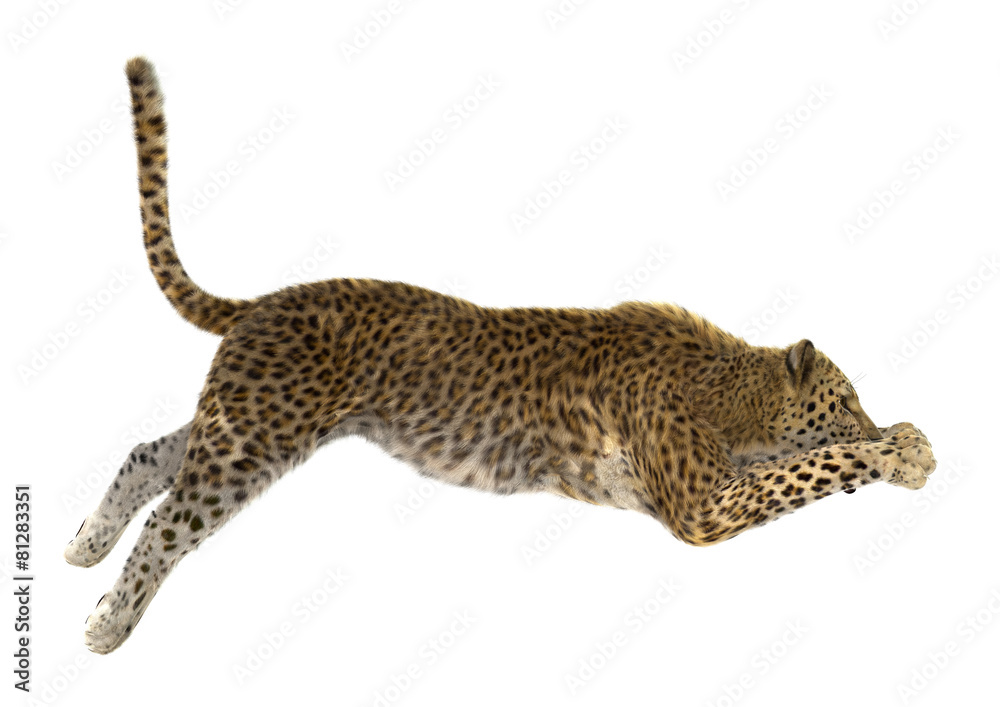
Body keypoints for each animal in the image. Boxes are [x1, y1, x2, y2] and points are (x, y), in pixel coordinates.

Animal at [64, 57, 936, 654]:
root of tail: (268, 300)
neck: (734, 394)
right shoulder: (703, 505)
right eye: (845, 399)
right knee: (173, 519)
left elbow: (802, 465)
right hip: (255, 434)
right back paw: (108, 621)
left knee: (149, 455)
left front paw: (898, 441)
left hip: (245, 418)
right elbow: (815, 466)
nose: (873, 417)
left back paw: (82, 544)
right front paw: (901, 448)